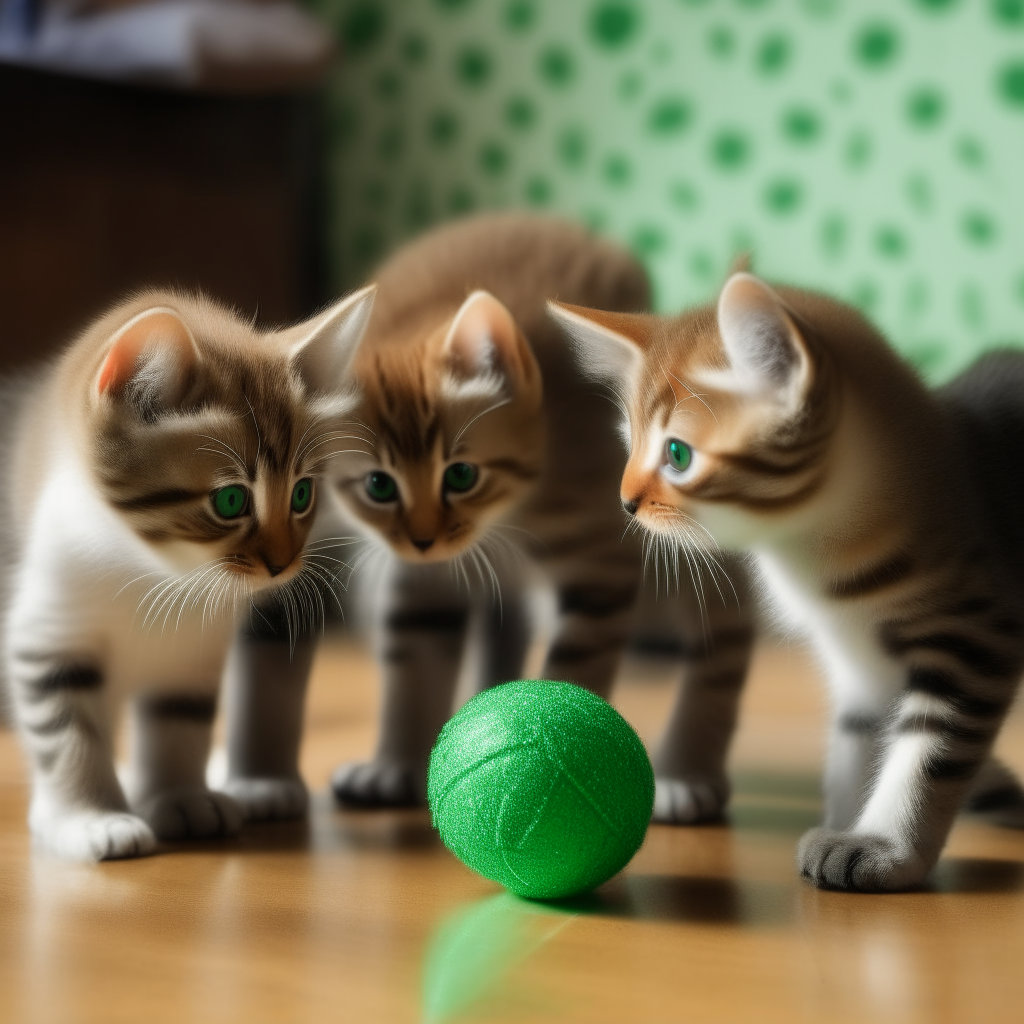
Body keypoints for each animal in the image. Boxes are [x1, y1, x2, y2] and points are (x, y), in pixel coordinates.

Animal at [0, 284, 376, 860]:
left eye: (302, 494)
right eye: (230, 501)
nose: (281, 564)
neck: (153, 571)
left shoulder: (192, 649)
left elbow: (179, 719)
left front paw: (180, 798)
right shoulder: (45, 632)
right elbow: (67, 731)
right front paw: (89, 818)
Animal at [552, 276, 1024, 892]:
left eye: (678, 454)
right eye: (628, 441)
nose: (626, 501)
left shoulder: (974, 630)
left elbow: (927, 752)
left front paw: (885, 845)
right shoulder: (855, 658)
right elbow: (857, 739)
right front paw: (846, 822)